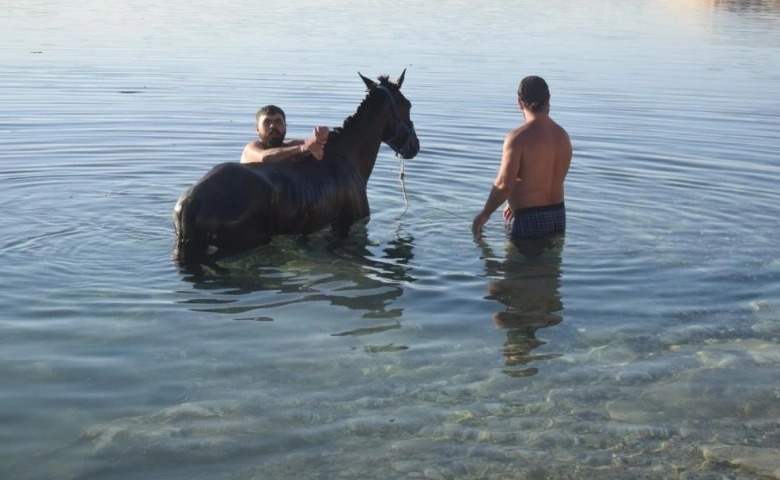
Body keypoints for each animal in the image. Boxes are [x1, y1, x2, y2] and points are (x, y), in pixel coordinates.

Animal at [174, 71, 420, 264]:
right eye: (408, 105)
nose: (414, 147)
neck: (349, 158)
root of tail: (191, 200)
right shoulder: (348, 224)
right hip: (243, 242)